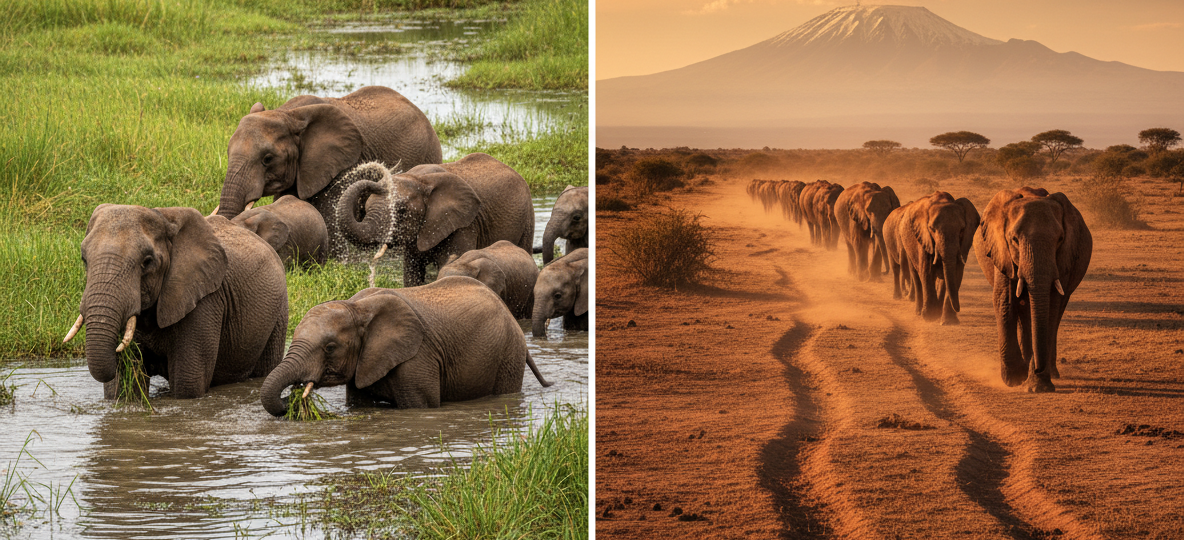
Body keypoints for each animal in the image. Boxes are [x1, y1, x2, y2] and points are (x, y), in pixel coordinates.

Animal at [64, 205, 288, 399]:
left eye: (147, 262)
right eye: (84, 259)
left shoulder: (205, 302)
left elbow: (188, 385)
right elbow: (122, 389)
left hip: (279, 312)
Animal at [260, 276, 553, 414]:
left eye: (330, 347)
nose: (290, 399)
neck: (357, 308)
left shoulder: (417, 357)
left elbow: (420, 405)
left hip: (508, 353)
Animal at [335, 153, 534, 287]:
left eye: (401, 211)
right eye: (366, 207)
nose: (382, 174)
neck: (420, 179)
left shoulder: (465, 224)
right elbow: (411, 274)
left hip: (527, 216)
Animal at [893, 191, 980, 325]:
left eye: (961, 230)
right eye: (932, 229)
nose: (959, 308)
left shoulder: (963, 244)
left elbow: (956, 273)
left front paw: (948, 321)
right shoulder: (924, 238)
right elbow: (927, 272)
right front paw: (930, 317)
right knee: (917, 276)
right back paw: (920, 312)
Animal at [974, 187, 1092, 393]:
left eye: (1060, 239)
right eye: (1014, 240)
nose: (1038, 368)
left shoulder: (1063, 258)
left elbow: (1051, 305)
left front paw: (1039, 385)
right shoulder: (1001, 251)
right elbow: (1004, 300)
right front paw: (1015, 379)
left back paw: (1050, 372)